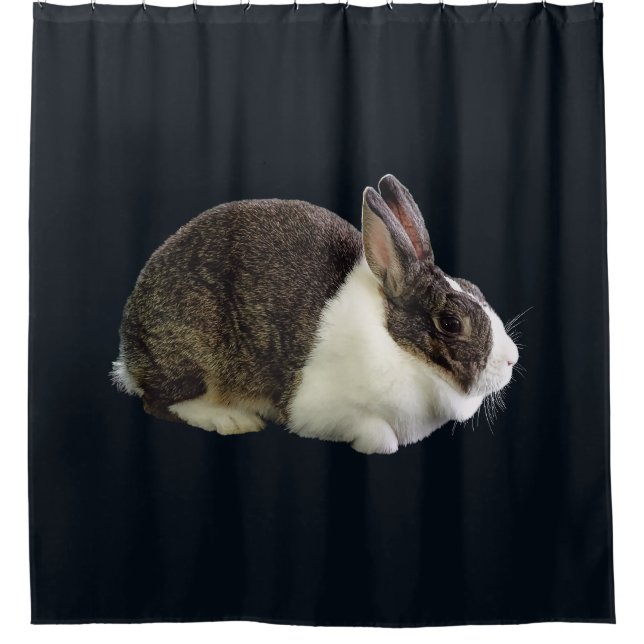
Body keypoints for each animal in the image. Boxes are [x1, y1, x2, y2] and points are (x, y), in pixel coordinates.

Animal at [112, 175, 519, 455]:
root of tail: (130, 351)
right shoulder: (323, 408)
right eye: (450, 323)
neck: (398, 344)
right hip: (193, 346)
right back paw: (229, 418)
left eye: (474, 288)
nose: (512, 359)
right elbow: (378, 435)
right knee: (160, 400)